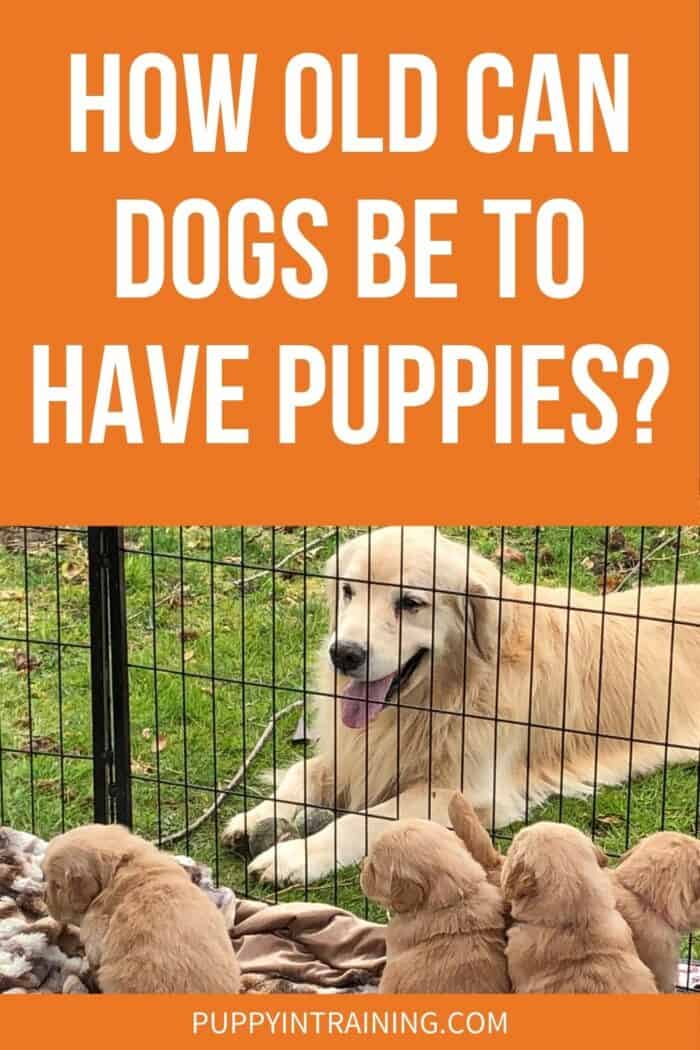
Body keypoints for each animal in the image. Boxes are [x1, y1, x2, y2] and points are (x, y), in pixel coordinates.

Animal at [224, 525, 700, 886]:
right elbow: (303, 774)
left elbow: (364, 820)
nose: (343, 654)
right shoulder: (360, 751)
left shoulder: (465, 790)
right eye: (348, 591)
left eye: (411, 603)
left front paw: (295, 856)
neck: (442, 698)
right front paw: (256, 817)